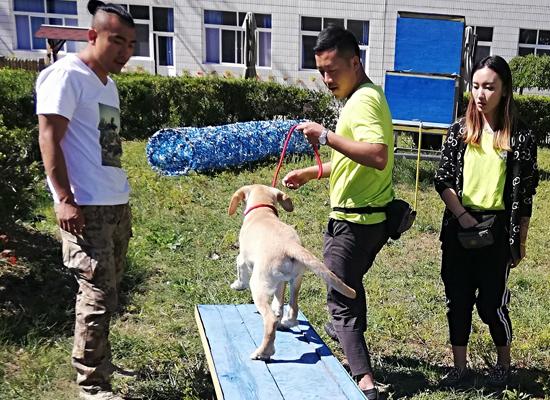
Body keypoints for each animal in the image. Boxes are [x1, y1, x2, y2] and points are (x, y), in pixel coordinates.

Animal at [229, 186, 358, 360]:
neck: (263, 211)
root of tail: (288, 245)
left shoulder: (242, 258)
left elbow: (240, 272)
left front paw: (237, 285)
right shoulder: (281, 282)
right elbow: (278, 302)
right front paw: (278, 310)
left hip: (258, 284)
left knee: (270, 321)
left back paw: (263, 352)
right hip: (296, 280)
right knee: (293, 308)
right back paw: (286, 322)